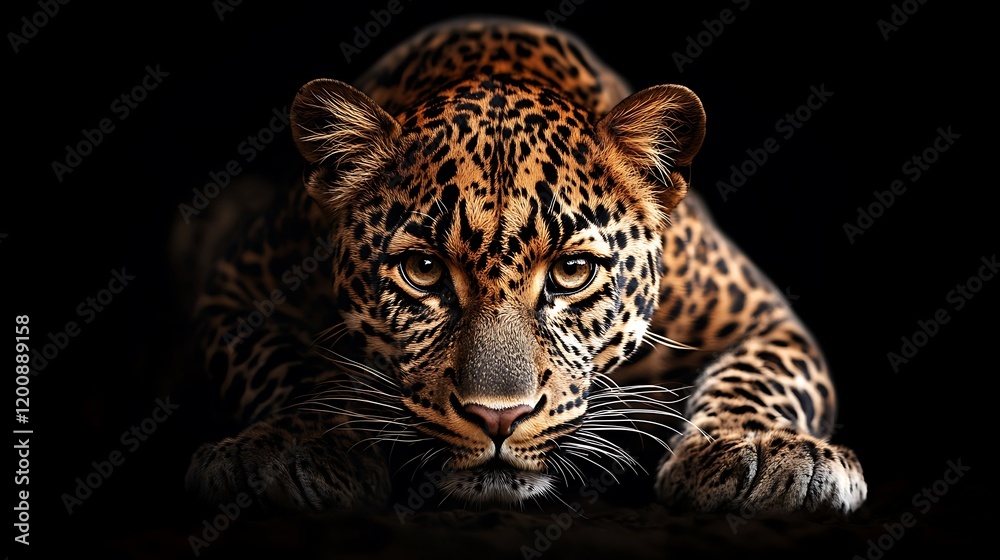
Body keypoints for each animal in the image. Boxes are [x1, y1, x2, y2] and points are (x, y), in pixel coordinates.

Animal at [185, 16, 867, 515]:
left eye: (571, 272)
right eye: (423, 270)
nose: (498, 417)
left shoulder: (761, 315)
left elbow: (763, 374)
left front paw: (759, 448)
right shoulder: (239, 290)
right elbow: (283, 361)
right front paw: (298, 444)